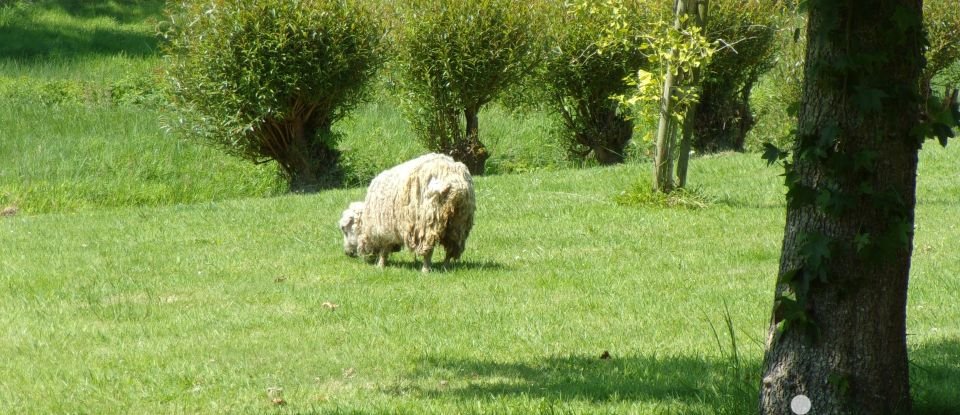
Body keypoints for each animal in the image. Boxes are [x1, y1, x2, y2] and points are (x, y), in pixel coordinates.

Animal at [338, 153, 476, 272]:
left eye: (345, 229)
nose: (347, 253)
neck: (366, 220)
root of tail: (454, 180)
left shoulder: (384, 230)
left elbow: (384, 249)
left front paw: (380, 266)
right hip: (459, 221)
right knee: (452, 247)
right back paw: (445, 266)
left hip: (428, 221)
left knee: (428, 249)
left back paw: (425, 269)